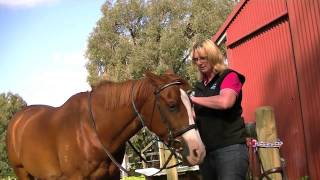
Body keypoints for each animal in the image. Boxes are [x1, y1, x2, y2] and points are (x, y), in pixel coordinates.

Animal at [6, 71, 205, 179]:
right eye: (172, 105)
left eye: (191, 103)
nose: (198, 151)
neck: (92, 133)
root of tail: (17, 120)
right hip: (22, 173)